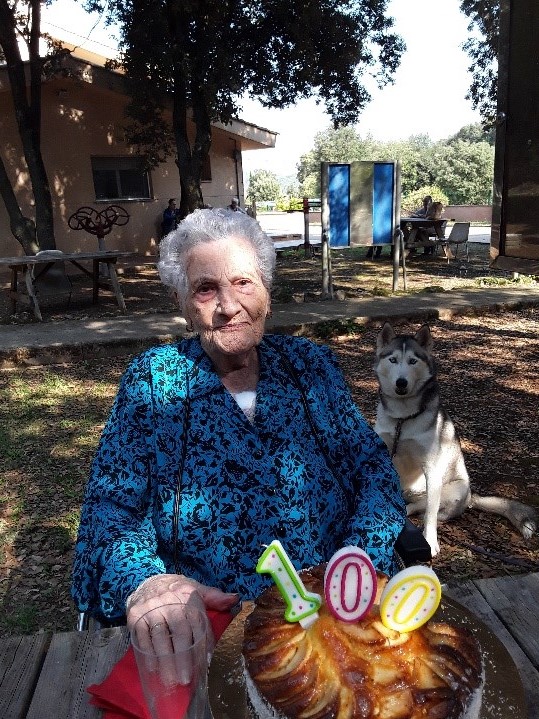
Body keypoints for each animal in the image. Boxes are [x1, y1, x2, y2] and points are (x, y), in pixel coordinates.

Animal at [376, 324, 536, 560]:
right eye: (393, 360)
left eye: (413, 361)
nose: (401, 383)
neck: (402, 418)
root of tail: (471, 497)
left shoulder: (431, 469)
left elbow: (430, 515)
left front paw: (430, 541)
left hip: (450, 488)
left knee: (424, 509)